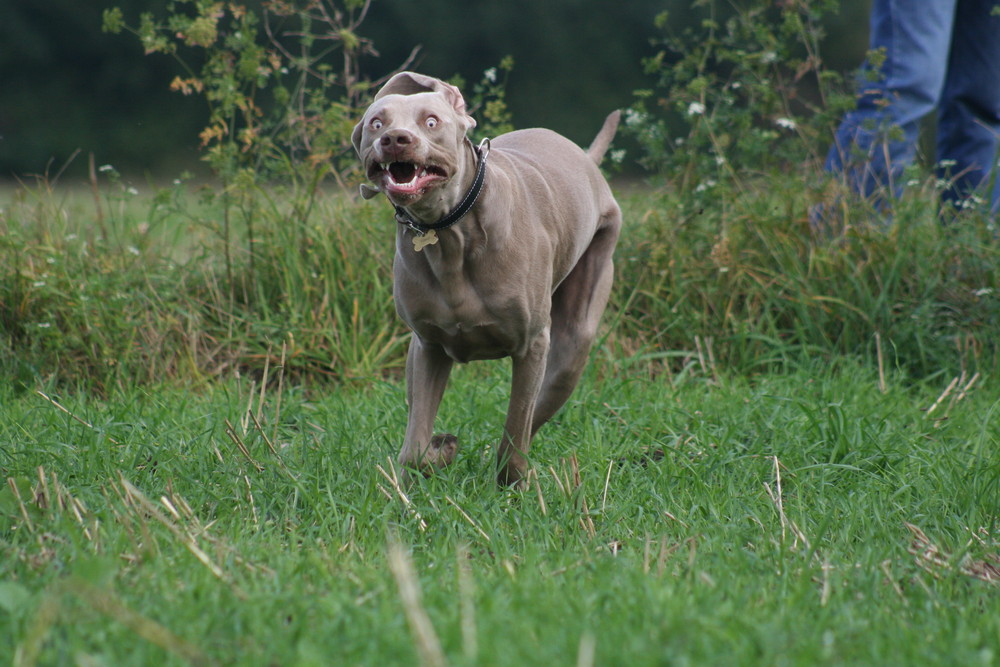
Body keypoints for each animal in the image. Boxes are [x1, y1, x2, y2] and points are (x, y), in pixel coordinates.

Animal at [350, 72, 616, 486]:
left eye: (431, 121)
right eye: (377, 123)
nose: (395, 138)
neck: (450, 233)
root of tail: (587, 160)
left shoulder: (532, 344)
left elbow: (517, 425)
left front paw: (511, 484)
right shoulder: (427, 345)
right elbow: (415, 445)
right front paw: (440, 452)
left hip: (577, 334)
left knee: (537, 408)